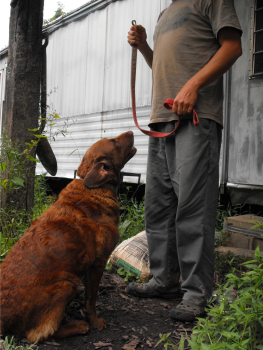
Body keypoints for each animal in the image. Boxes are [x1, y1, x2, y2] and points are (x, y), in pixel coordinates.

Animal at [1, 131, 138, 342]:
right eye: (114, 142)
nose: (131, 131)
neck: (94, 187)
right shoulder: (98, 263)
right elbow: (91, 299)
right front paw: (95, 321)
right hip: (67, 283)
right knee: (40, 334)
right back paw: (78, 326)